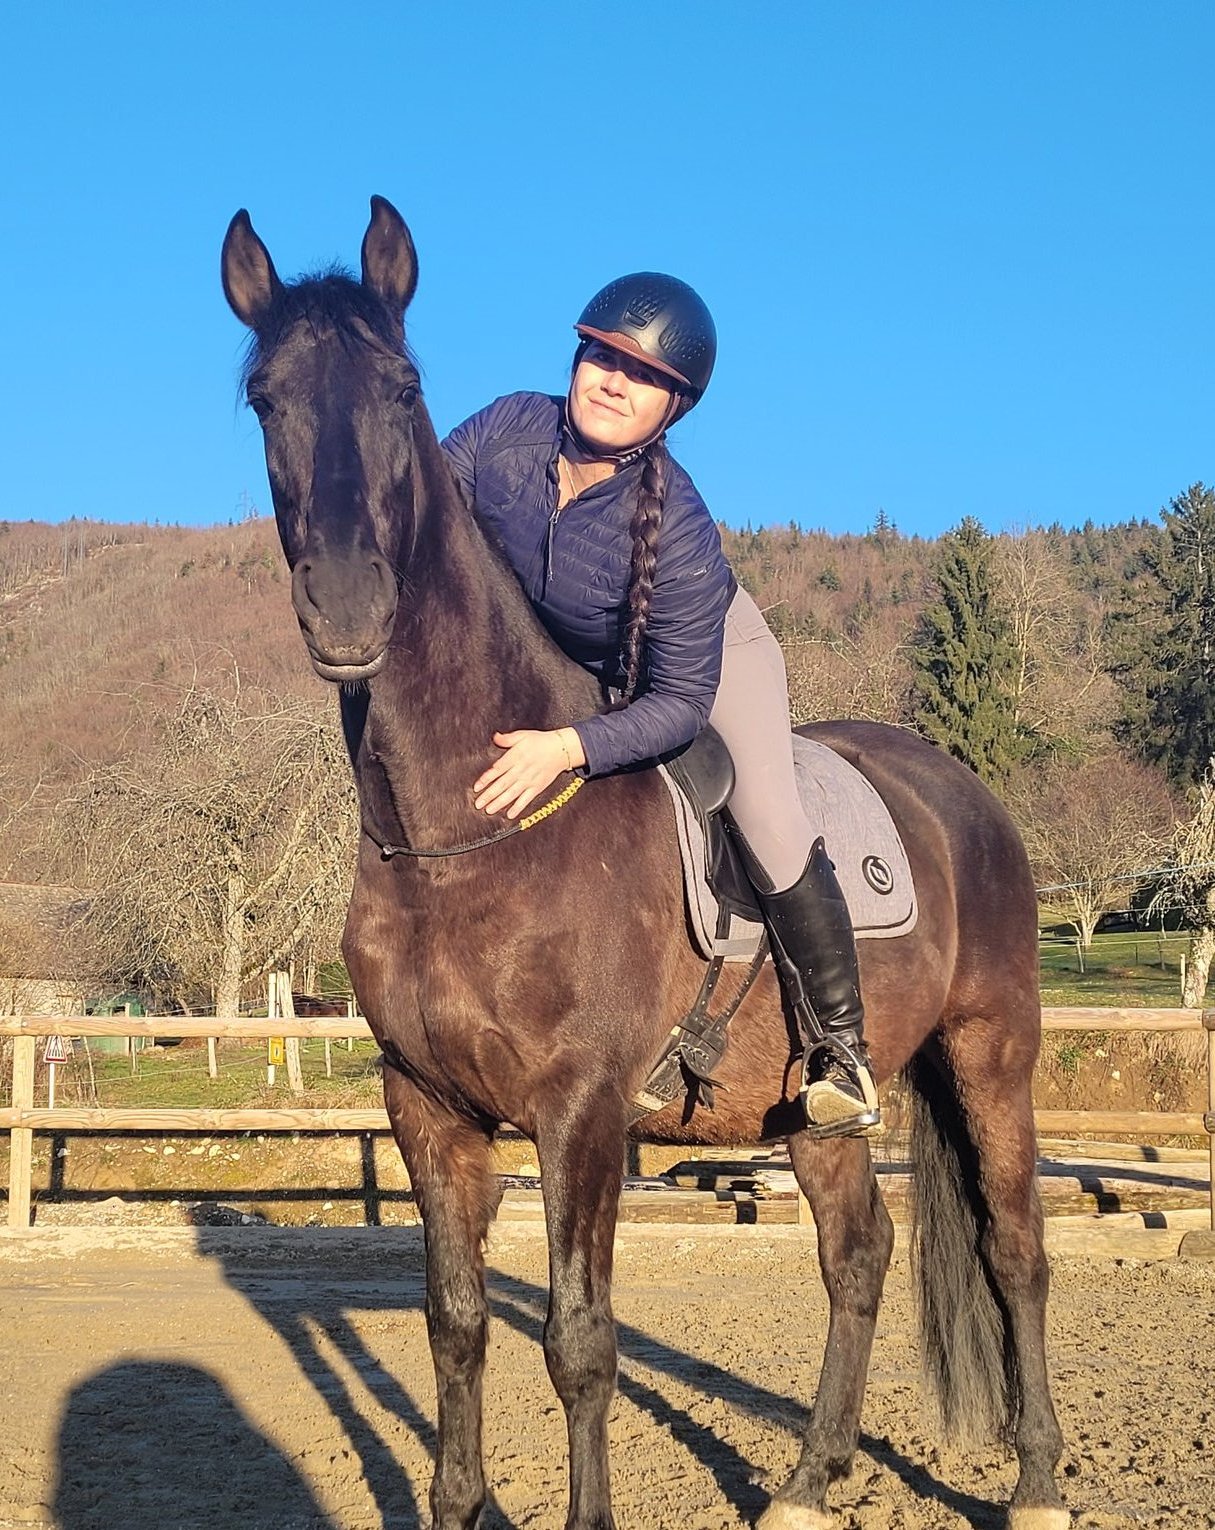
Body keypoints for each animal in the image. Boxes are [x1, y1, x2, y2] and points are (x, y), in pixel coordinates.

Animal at [221, 196, 1067, 1530]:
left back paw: (1035, 1481)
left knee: (1015, 1248)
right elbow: (456, 1325)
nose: (349, 609)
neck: (468, 844)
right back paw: (810, 1482)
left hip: (993, 1050)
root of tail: (957, 791)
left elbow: (579, 1340)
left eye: (404, 388)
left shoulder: (576, 1113)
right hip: (813, 1108)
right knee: (859, 1254)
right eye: (266, 396)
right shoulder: (425, 1110)